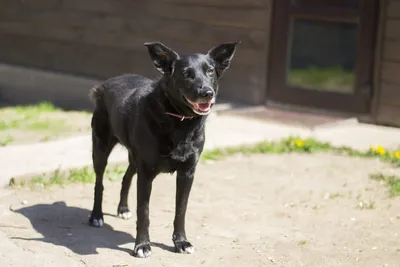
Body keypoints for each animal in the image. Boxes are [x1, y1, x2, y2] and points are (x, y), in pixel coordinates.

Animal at [87, 40, 238, 258]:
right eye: (186, 74)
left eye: (210, 71)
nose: (207, 93)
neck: (179, 121)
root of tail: (105, 84)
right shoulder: (146, 173)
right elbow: (144, 211)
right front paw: (142, 245)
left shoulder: (187, 173)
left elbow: (181, 210)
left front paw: (181, 242)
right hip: (101, 149)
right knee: (99, 183)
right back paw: (96, 216)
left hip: (135, 158)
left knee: (126, 177)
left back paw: (123, 209)